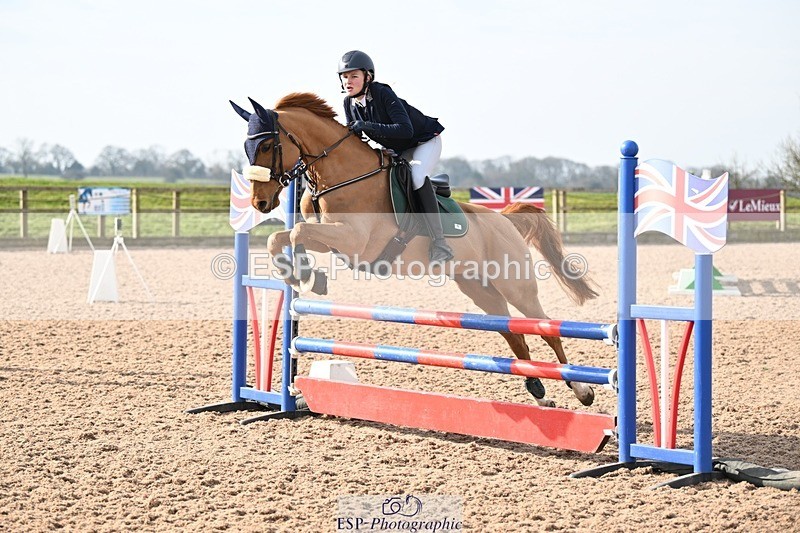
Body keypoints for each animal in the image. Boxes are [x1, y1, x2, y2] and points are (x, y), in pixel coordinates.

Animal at [230, 93, 600, 408]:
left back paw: (582, 390)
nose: (259, 203)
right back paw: (539, 394)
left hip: (515, 285)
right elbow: (281, 238)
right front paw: (300, 275)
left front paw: (308, 276)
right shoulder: (333, 241)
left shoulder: (354, 240)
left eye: (266, 144)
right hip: (480, 288)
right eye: (247, 146)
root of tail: (504, 219)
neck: (341, 174)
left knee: (546, 329)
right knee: (515, 335)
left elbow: (297, 233)